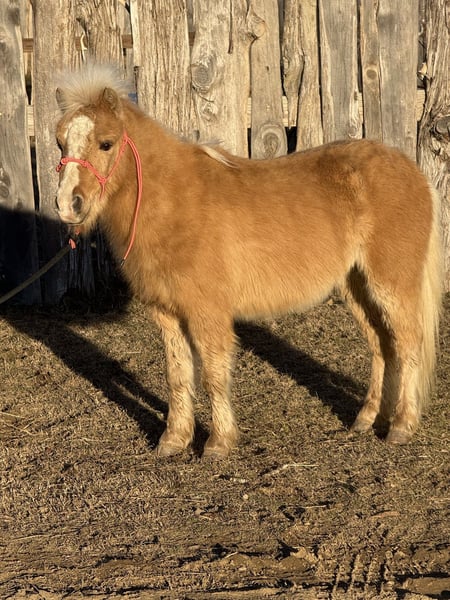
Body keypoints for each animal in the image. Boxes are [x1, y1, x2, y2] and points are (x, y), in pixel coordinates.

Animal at [54, 65, 443, 459]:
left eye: (106, 143)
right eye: (60, 143)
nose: (68, 204)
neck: (174, 203)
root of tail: (413, 172)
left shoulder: (207, 313)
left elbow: (213, 375)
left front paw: (218, 443)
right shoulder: (167, 314)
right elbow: (178, 376)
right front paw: (174, 440)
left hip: (390, 285)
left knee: (408, 344)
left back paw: (401, 426)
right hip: (356, 287)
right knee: (382, 346)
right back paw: (365, 420)